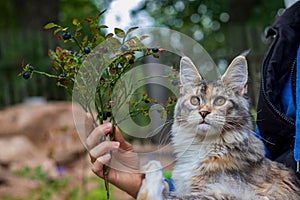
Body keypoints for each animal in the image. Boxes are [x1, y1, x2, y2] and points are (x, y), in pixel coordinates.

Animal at [137, 55, 300, 199]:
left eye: (220, 101)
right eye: (195, 100)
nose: (203, 112)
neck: (203, 145)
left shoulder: (216, 192)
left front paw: (151, 168)